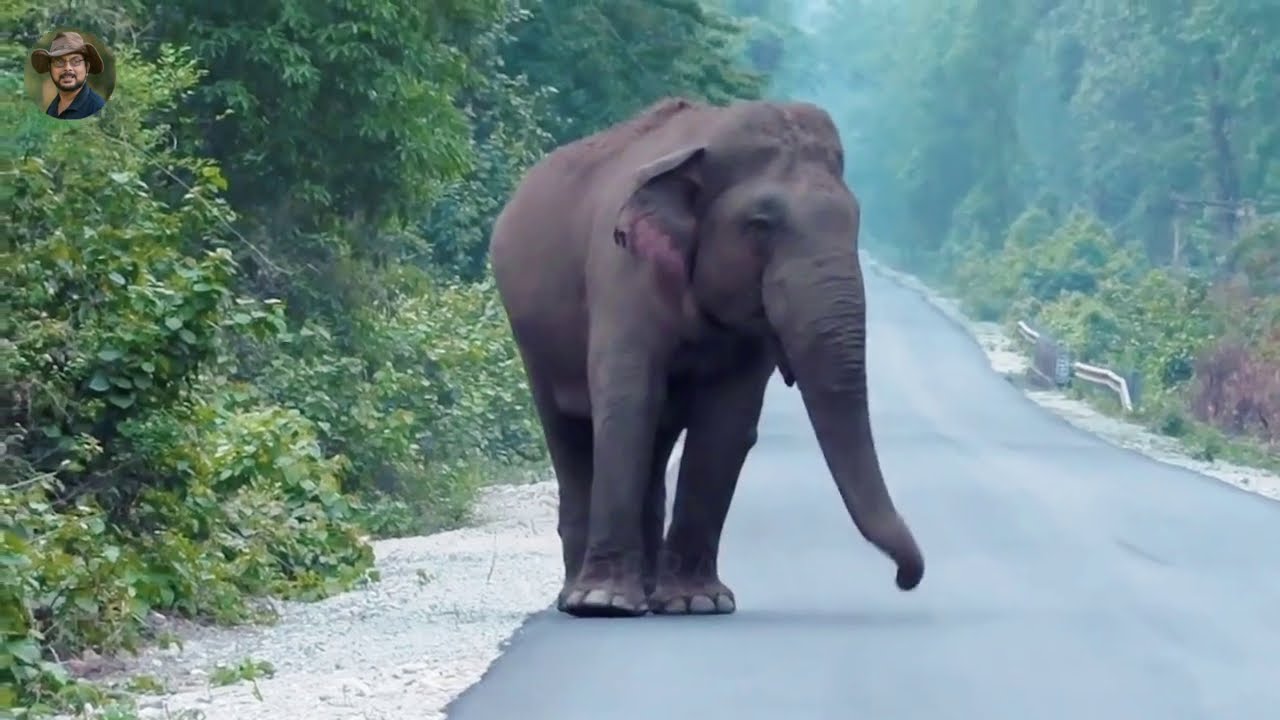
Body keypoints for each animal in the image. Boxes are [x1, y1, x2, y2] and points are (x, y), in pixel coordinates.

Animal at [488, 96, 925, 618]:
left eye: (856, 223)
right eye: (760, 225)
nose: (904, 579)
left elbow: (726, 421)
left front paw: (698, 603)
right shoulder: (622, 270)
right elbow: (627, 400)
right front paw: (605, 603)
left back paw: (646, 593)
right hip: (529, 332)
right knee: (566, 427)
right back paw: (579, 597)